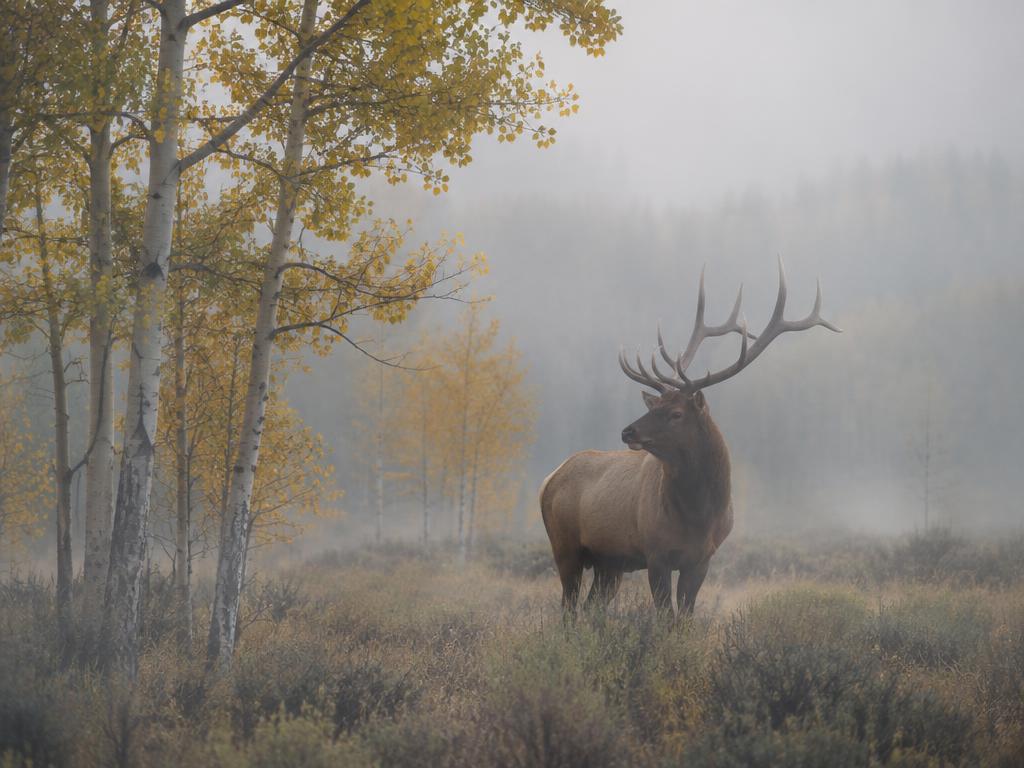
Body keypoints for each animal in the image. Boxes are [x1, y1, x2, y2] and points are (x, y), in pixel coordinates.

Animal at [540, 259, 840, 615]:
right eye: (654, 405)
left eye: (676, 413)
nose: (628, 431)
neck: (698, 516)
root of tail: (550, 477)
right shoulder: (655, 553)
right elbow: (665, 615)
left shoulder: (701, 559)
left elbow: (684, 615)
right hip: (565, 546)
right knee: (568, 608)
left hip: (609, 563)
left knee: (590, 607)